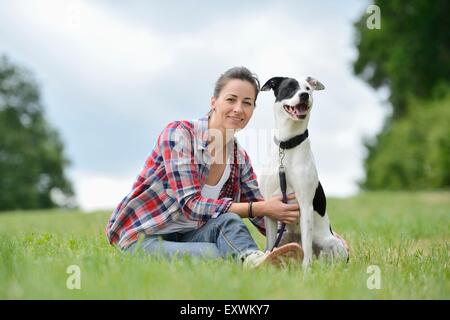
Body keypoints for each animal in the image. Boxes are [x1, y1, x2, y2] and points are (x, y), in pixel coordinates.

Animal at [258, 77, 350, 268]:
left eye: (308, 88)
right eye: (289, 87)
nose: (304, 95)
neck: (287, 145)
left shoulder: (305, 204)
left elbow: (306, 248)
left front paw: (306, 270)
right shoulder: (269, 206)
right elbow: (270, 243)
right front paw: (266, 258)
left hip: (332, 243)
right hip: (284, 237)